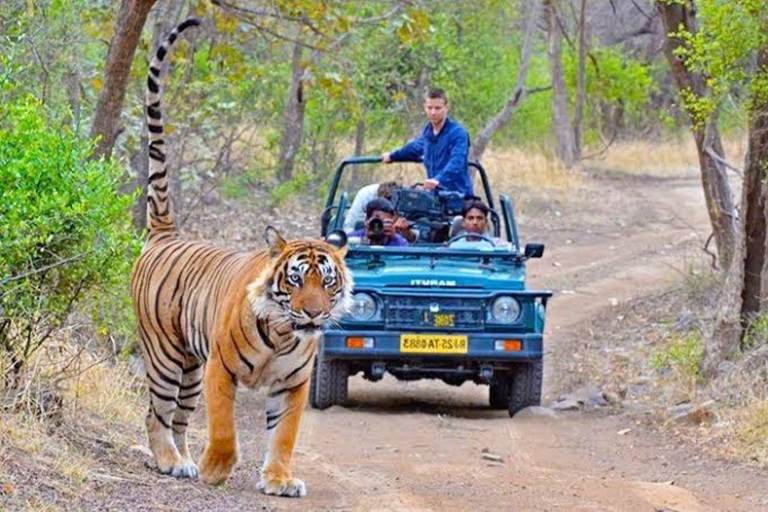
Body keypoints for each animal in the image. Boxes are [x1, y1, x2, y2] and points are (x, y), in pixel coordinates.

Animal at [130, 18, 352, 498]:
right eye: (295, 280)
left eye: (327, 282)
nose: (313, 314)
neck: (286, 333)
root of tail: (164, 235)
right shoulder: (221, 369)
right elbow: (224, 428)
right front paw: (217, 469)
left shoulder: (293, 384)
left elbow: (283, 435)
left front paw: (280, 480)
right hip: (165, 355)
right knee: (156, 412)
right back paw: (170, 461)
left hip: (190, 368)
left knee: (179, 418)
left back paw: (183, 461)